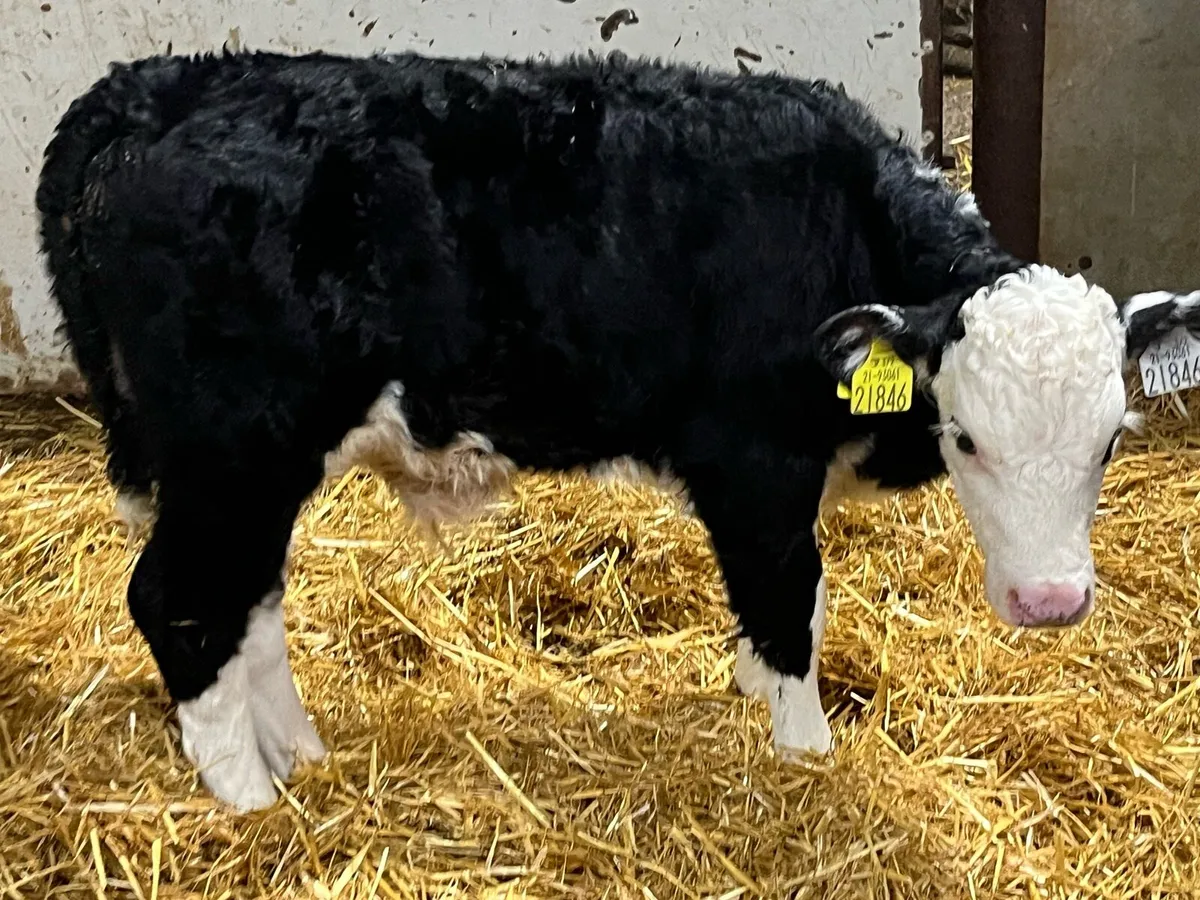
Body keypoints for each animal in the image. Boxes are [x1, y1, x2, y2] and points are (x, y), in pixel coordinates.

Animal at [35, 49, 1199, 811]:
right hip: (234, 450)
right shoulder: (751, 464)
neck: (835, 227)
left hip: (240, 467)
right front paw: (803, 752)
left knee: (249, 605)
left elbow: (801, 609)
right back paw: (249, 801)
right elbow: (788, 601)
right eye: (965, 439)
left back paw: (300, 757)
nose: (1052, 603)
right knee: (179, 601)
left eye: (1108, 442)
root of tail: (144, 91)